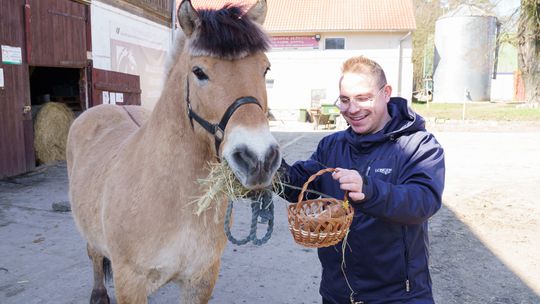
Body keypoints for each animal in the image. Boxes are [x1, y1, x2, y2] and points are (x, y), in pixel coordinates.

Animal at [65, 1, 280, 302]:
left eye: (265, 69)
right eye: (199, 72)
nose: (258, 159)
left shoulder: (201, 279)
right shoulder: (129, 281)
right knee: (94, 253)